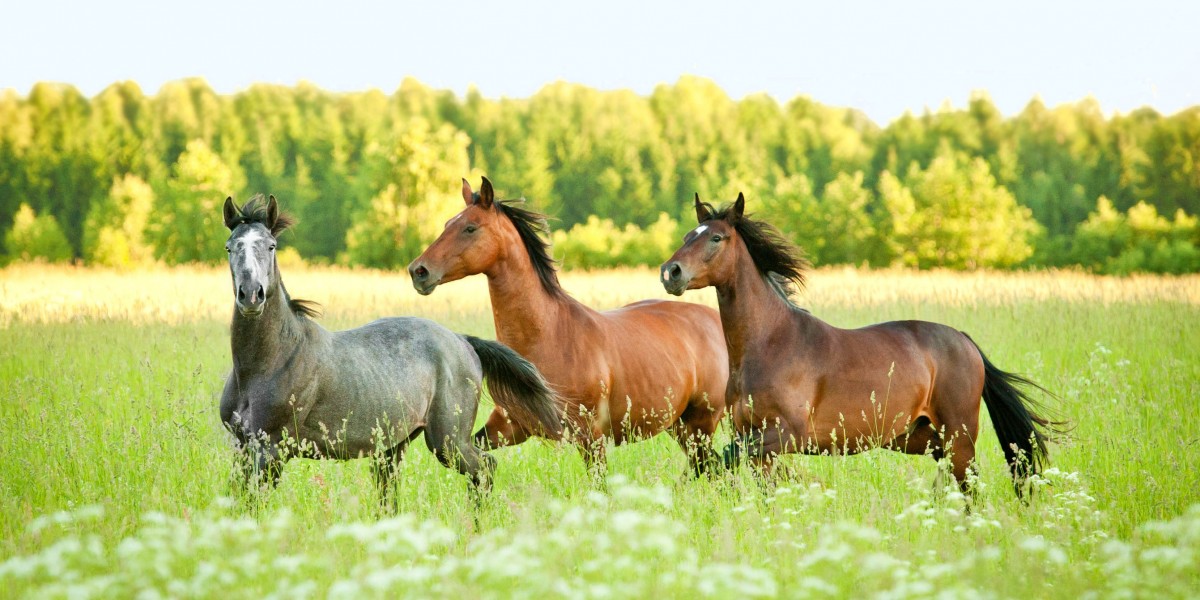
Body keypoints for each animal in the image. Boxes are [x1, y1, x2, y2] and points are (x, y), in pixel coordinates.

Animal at [218, 194, 563, 507]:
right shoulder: (242, 447)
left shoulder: (271, 449)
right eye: (230, 247)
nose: (251, 295)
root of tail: (463, 341)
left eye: (271, 245)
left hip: (448, 441)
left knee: (485, 468)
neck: (269, 363)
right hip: (393, 447)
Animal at [407, 177, 730, 477]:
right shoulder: (509, 427)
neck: (550, 336)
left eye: (470, 228)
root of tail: (715, 320)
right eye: (448, 223)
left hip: (700, 423)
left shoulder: (590, 437)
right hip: (680, 426)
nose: (418, 271)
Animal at [659, 192, 1065, 497]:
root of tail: (964, 341)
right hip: (922, 438)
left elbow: (722, 459)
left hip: (958, 438)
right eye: (687, 236)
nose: (670, 272)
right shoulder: (752, 436)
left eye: (716, 238)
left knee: (971, 491)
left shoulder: (788, 434)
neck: (770, 345)